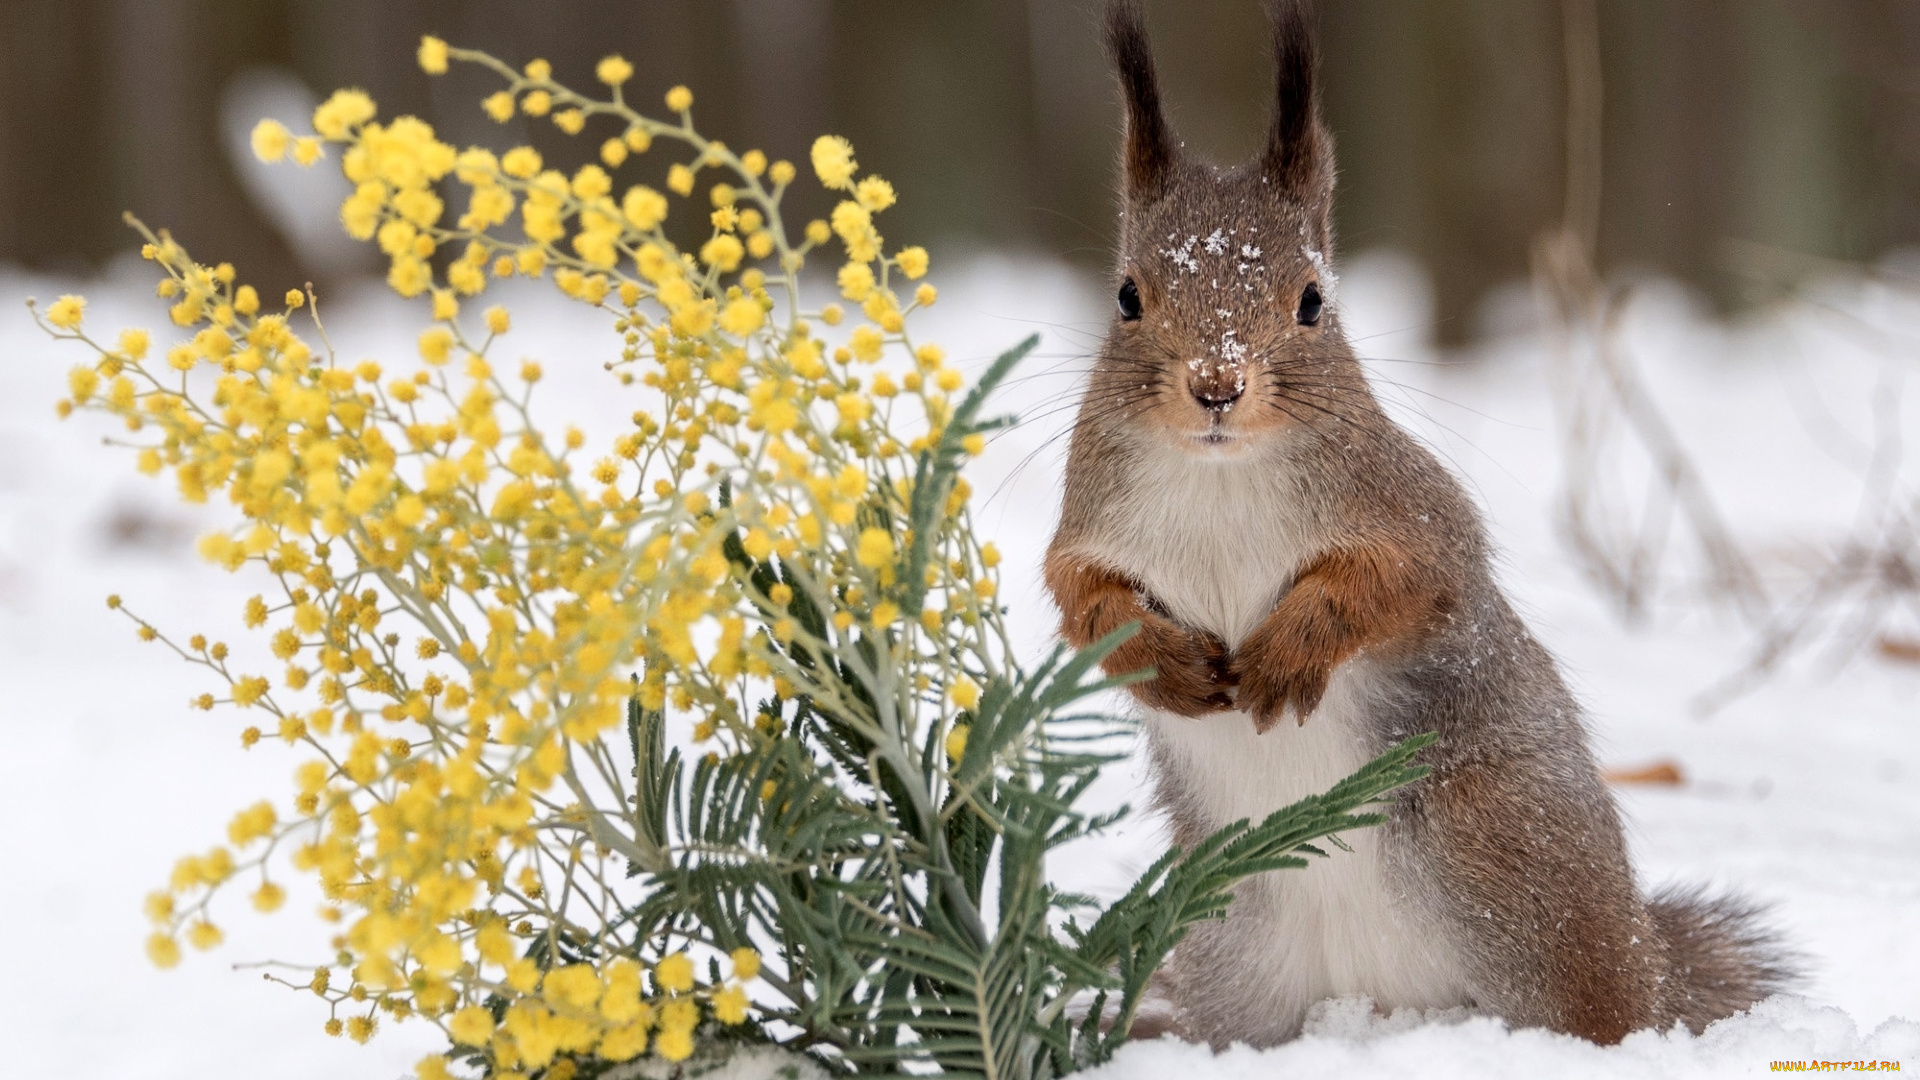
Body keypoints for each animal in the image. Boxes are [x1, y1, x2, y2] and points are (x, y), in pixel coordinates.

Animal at [1044, 0, 1789, 1045]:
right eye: (1125, 296)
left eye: (1314, 300)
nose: (1217, 386)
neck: (1220, 477)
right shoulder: (1087, 528)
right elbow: (1084, 604)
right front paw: (1166, 660)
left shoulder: (1417, 516)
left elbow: (1398, 585)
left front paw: (1289, 650)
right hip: (1232, 940)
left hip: (1508, 860)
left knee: (1604, 1007)